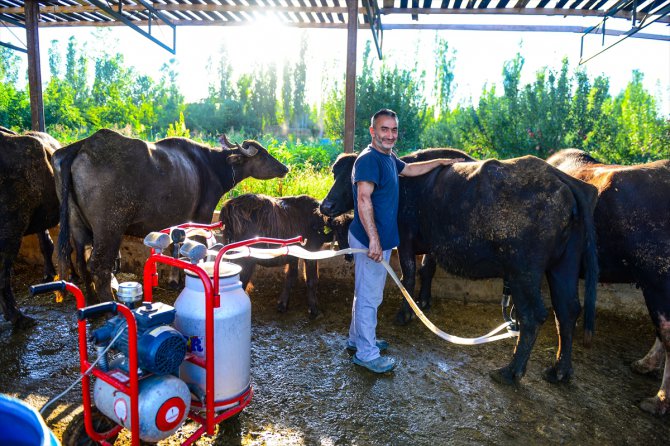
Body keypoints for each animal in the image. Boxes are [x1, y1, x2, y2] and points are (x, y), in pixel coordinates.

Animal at [53, 129, 290, 304]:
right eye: (263, 153)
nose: (285, 167)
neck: (210, 165)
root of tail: (81, 146)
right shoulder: (202, 217)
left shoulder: (177, 220)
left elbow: (174, 247)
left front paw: (174, 280)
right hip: (110, 226)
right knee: (98, 265)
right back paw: (110, 305)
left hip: (77, 225)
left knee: (81, 259)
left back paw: (92, 301)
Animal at [220, 194, 354, 318]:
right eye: (341, 232)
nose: (350, 256)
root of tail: (229, 207)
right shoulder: (311, 252)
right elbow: (312, 279)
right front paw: (314, 310)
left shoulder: (293, 257)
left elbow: (291, 277)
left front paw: (282, 304)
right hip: (245, 261)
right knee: (241, 282)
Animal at [320, 153, 600, 384]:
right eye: (335, 173)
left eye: (352, 177)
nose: (326, 206)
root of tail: (562, 178)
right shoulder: (433, 244)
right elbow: (426, 270)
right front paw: (423, 302)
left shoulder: (406, 238)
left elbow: (408, 275)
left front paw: (405, 314)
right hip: (563, 266)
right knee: (567, 310)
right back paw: (560, 371)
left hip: (524, 272)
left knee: (534, 315)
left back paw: (510, 372)